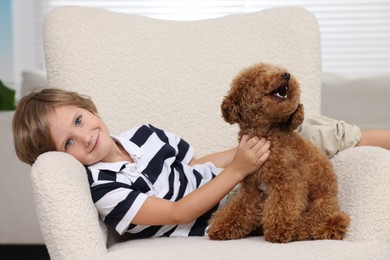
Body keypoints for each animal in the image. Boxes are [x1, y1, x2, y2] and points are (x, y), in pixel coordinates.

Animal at [209, 62, 348, 242]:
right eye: (259, 75)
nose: (286, 75)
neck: (266, 133)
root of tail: (334, 209)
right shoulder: (252, 189)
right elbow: (240, 208)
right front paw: (223, 227)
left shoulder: (287, 180)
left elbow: (282, 207)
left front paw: (279, 230)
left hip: (319, 208)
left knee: (312, 226)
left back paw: (299, 230)